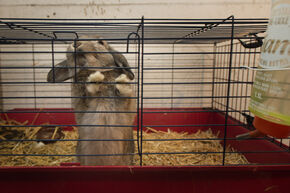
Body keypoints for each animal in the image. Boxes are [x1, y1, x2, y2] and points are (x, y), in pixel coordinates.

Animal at [47, 36, 137, 166]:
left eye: (101, 42)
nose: (76, 43)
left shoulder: (127, 105)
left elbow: (124, 95)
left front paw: (122, 81)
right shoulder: (83, 103)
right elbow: (89, 95)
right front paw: (95, 78)